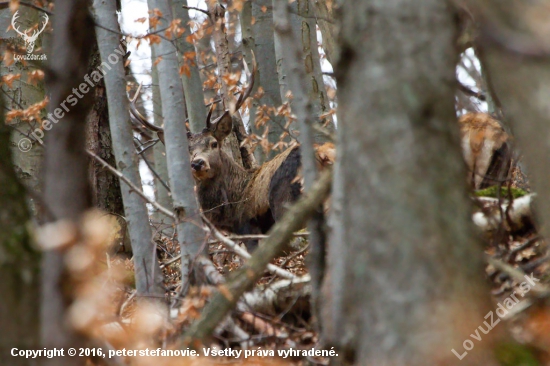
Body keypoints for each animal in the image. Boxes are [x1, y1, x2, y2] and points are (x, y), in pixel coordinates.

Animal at [131, 60, 336, 249]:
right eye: (187, 150)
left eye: (214, 143)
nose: (197, 163)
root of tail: (323, 155)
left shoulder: (248, 227)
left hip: (286, 202)